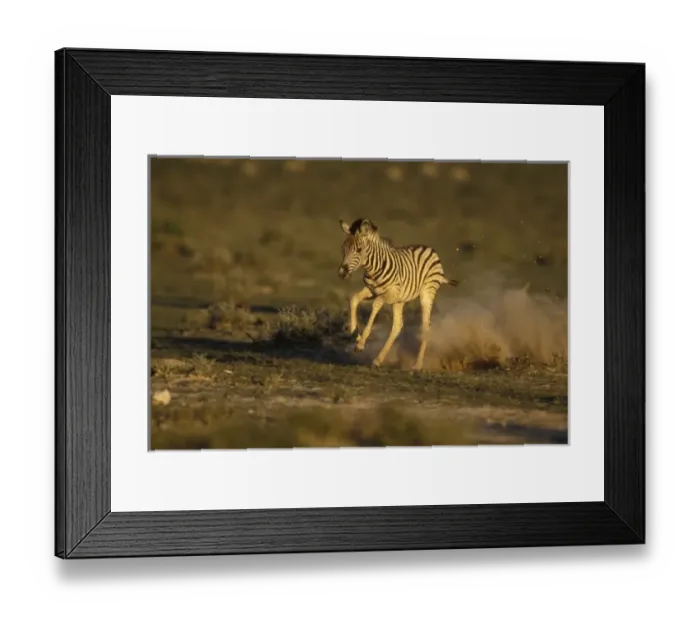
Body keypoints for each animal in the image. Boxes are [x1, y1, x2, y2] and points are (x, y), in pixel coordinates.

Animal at [338, 217, 459, 371]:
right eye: (343, 248)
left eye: (359, 250)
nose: (342, 273)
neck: (374, 269)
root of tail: (430, 249)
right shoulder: (371, 290)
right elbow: (354, 299)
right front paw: (353, 330)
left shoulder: (389, 294)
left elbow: (376, 305)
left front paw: (360, 343)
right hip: (400, 300)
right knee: (397, 326)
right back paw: (378, 360)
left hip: (426, 293)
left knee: (425, 327)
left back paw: (417, 365)